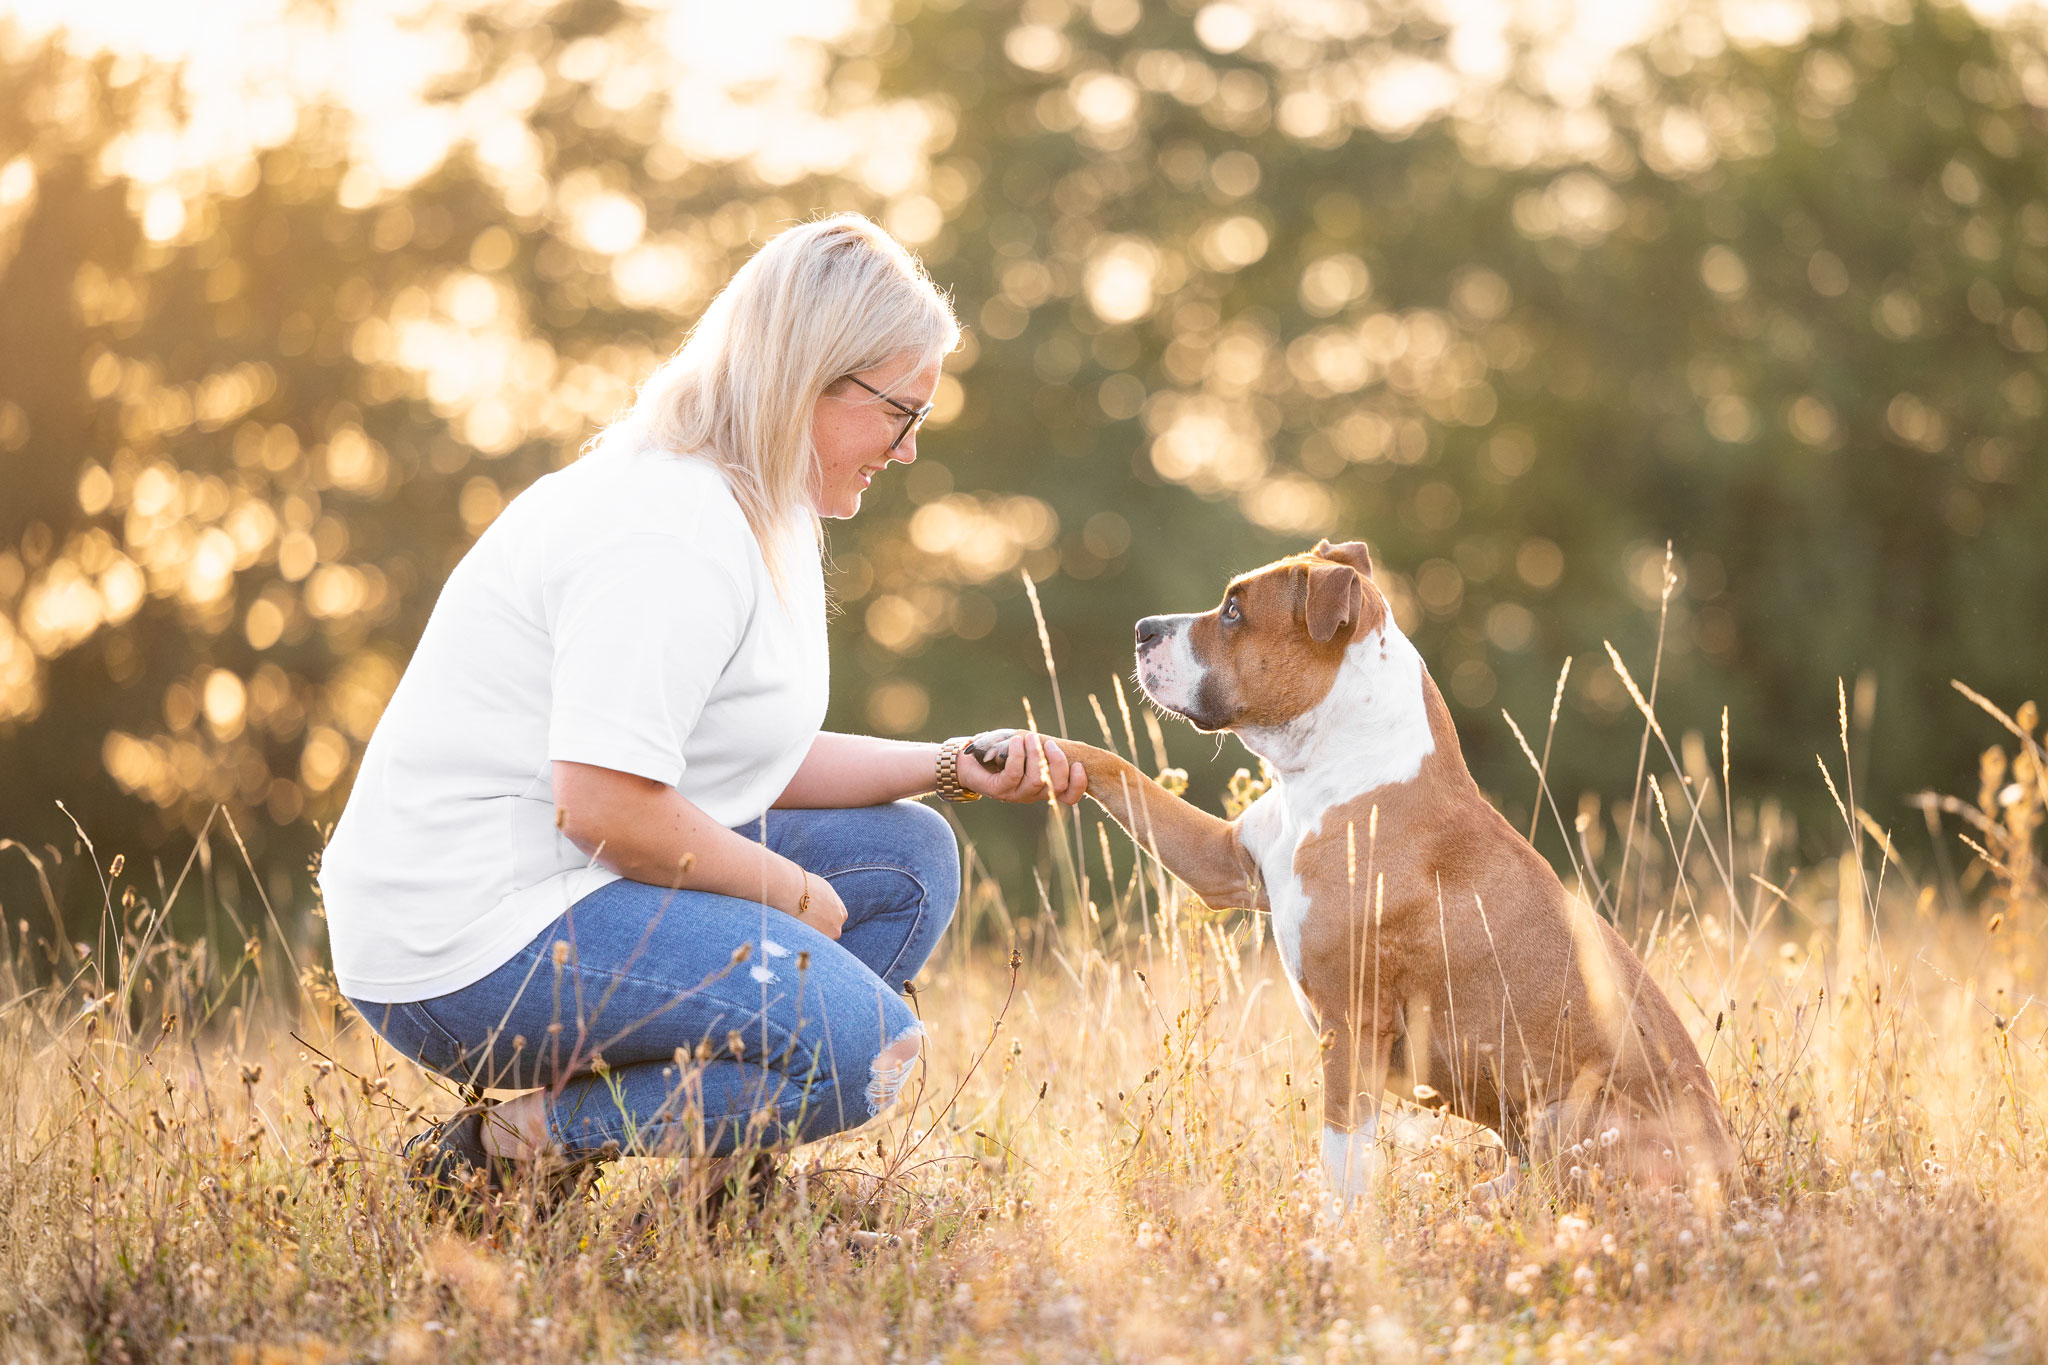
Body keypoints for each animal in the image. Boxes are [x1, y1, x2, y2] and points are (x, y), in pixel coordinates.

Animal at [966, 540, 1736, 1211]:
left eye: (1234, 610)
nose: (1142, 629)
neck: (1334, 766)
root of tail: (1733, 1177)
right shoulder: (1225, 862)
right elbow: (1114, 765)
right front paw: (1013, 744)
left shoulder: (1352, 1026)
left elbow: (1342, 1157)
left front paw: (1337, 1243)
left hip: (1573, 1120)